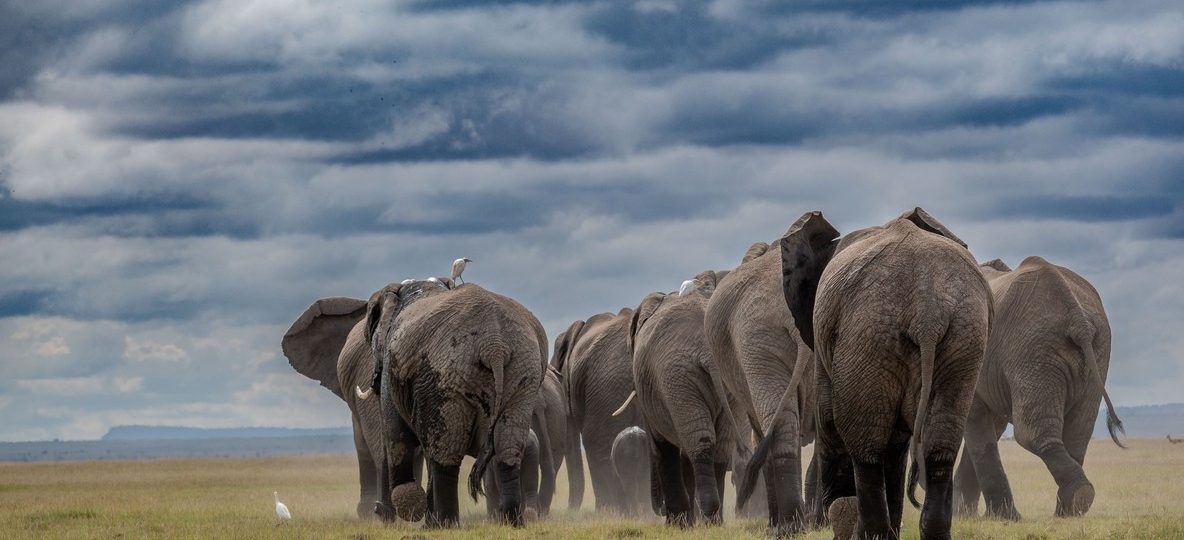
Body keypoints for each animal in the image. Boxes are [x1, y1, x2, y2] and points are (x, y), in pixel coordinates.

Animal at [354, 279, 548, 528]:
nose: (378, 510)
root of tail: (494, 345)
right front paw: (426, 520)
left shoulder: (392, 365)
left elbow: (396, 432)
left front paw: (414, 512)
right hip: (524, 372)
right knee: (508, 445)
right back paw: (511, 522)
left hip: (447, 372)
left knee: (446, 452)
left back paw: (447, 524)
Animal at [622, 270, 740, 526]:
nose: (660, 509)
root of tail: (707, 350)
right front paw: (688, 522)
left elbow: (662, 446)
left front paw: (678, 524)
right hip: (717, 382)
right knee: (719, 445)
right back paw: (714, 521)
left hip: (676, 378)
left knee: (698, 442)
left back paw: (705, 515)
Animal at [742, 208, 992, 540]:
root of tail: (929, 313)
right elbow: (897, 444)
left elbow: (829, 419)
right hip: (962, 338)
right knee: (939, 445)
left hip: (868, 335)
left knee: (865, 446)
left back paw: (871, 533)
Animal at [953, 256, 1122, 520]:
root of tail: (1078, 319)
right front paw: (968, 516)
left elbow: (978, 420)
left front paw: (994, 518)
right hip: (1094, 352)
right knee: (1077, 434)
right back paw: (1070, 509)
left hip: (1032, 351)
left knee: (1031, 433)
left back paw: (1074, 501)